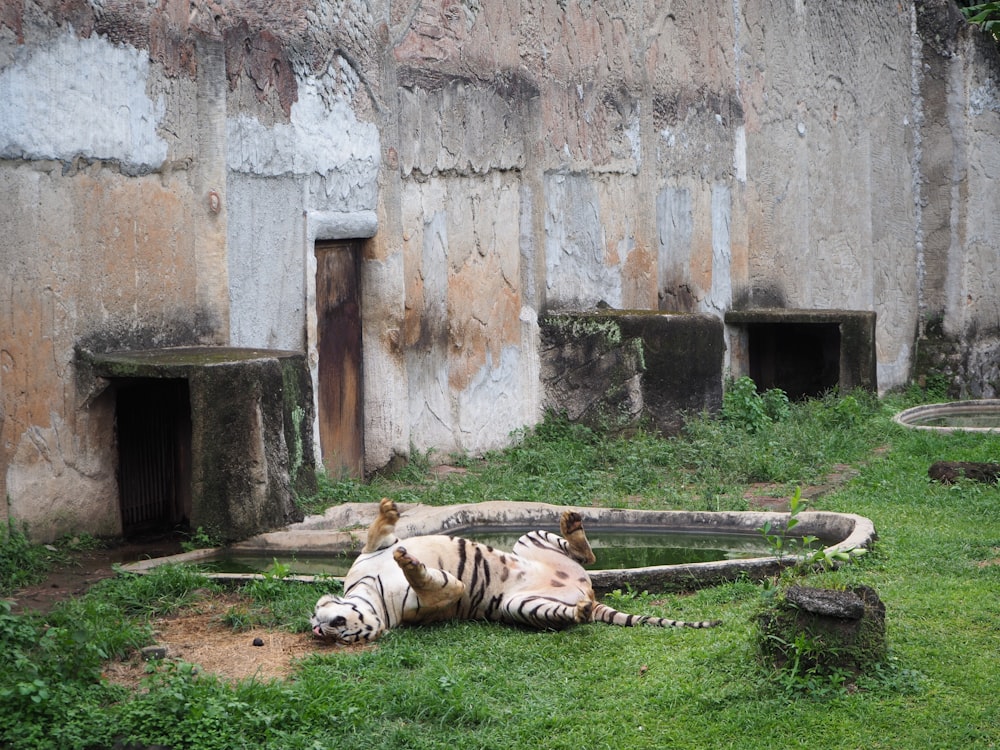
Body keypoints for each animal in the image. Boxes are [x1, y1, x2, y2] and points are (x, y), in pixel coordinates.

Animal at [310, 500, 720, 648]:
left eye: (336, 628)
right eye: (343, 637)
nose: (320, 629)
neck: (371, 594)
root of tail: (590, 595)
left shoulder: (372, 552)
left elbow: (376, 532)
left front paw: (388, 513)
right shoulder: (437, 597)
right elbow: (441, 583)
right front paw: (412, 565)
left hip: (529, 537)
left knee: (586, 553)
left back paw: (572, 523)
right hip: (523, 606)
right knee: (572, 615)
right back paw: (581, 611)